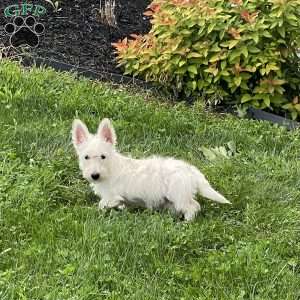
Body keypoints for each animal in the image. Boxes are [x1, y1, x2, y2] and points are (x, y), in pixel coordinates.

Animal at [71, 118, 231, 221]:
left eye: (103, 156)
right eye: (86, 157)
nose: (95, 175)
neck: (110, 168)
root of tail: (190, 170)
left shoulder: (112, 196)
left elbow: (102, 204)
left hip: (179, 194)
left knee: (193, 206)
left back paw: (187, 222)